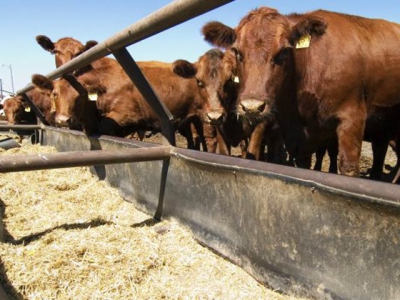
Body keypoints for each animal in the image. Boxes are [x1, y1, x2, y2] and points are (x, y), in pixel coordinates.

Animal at [203, 7, 400, 177]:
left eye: (284, 51)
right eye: (237, 53)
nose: (252, 107)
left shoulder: (352, 120)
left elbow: (348, 168)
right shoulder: (299, 139)